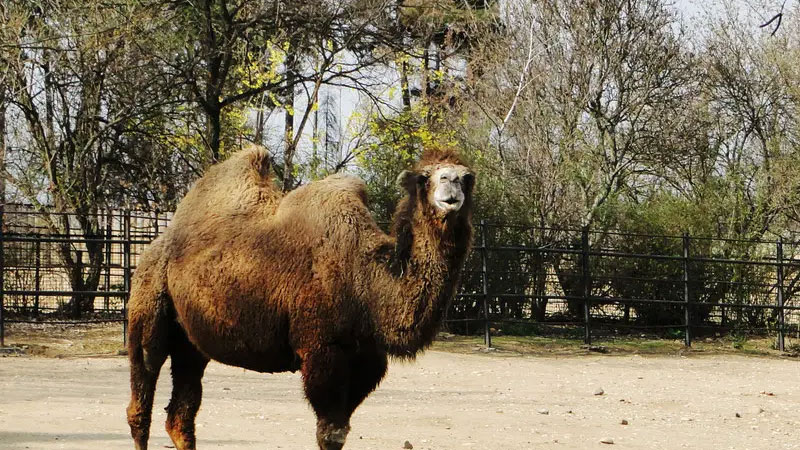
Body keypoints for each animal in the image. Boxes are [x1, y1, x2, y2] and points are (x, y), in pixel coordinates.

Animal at [126, 146, 476, 448]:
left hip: (190, 340)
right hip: (149, 300)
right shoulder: (321, 349)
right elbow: (330, 435)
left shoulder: (367, 360)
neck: (366, 280)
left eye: (468, 177)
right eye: (424, 177)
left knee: (180, 414)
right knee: (142, 394)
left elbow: (340, 430)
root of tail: (157, 244)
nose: (451, 183)